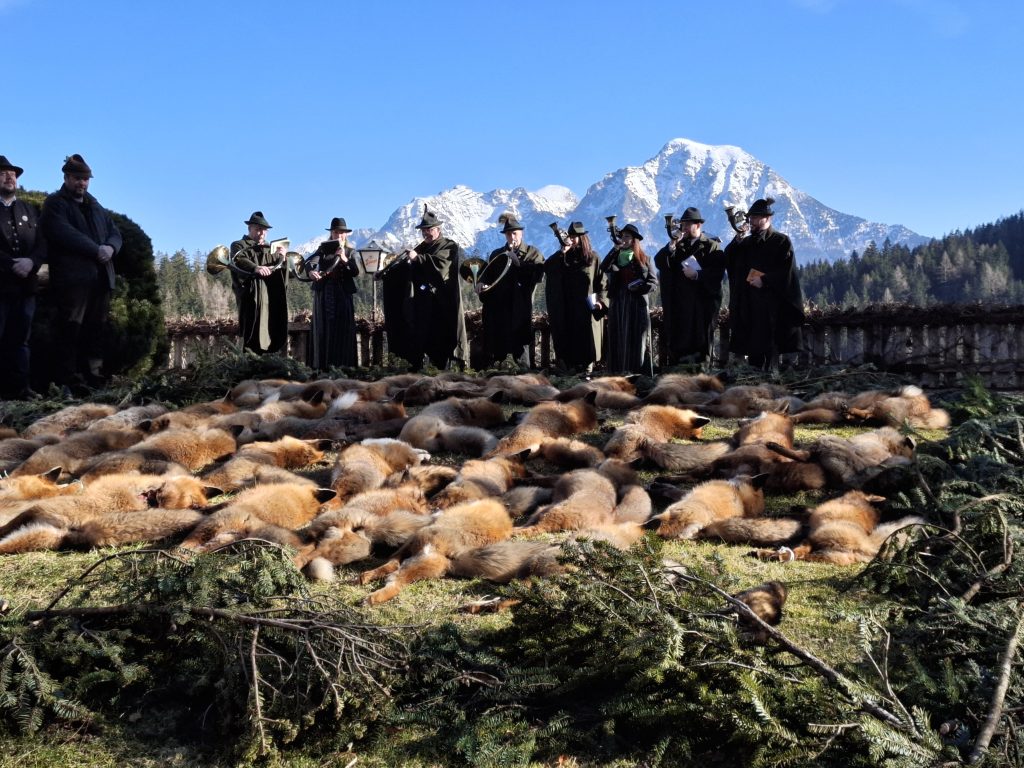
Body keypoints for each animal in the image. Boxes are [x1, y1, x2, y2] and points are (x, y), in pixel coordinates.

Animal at [360, 499, 516, 606]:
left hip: (414, 549)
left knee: (394, 576)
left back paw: (370, 595)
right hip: (419, 563)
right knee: (393, 572)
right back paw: (367, 579)